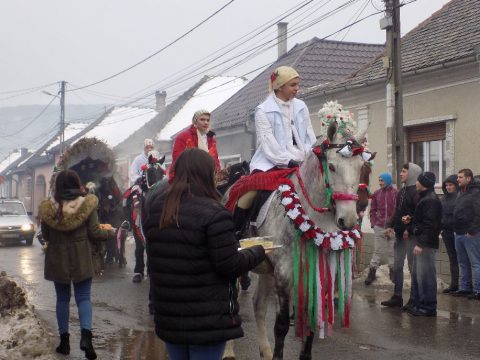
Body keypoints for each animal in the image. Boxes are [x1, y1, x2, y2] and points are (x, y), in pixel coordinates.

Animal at [223, 116, 370, 358]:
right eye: (332, 166)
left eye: (361, 167)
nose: (348, 220)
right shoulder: (284, 274)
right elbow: (281, 325)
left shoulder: (315, 273)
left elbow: (311, 321)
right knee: (232, 304)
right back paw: (228, 351)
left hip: (266, 269)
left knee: (258, 305)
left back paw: (265, 351)